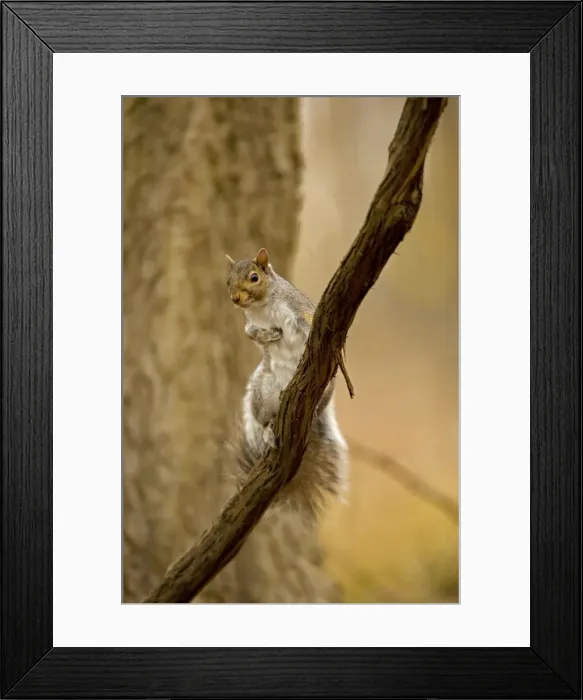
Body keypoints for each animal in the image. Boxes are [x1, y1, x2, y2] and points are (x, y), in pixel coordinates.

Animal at [225, 247, 349, 520]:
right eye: (227, 281)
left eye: (254, 278)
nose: (235, 299)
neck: (261, 306)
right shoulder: (250, 323)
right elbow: (251, 333)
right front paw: (268, 335)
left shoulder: (299, 309)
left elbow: (309, 322)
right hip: (262, 392)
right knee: (264, 420)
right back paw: (269, 431)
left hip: (324, 391)